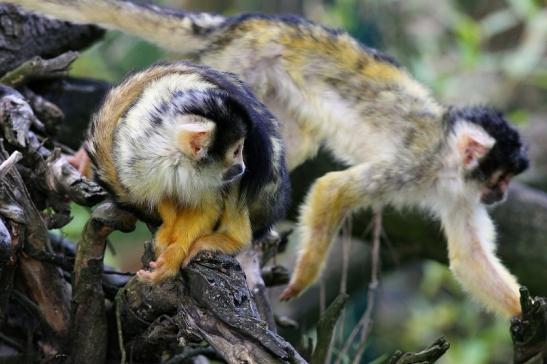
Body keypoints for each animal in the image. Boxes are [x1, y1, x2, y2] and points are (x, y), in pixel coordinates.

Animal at [86, 62, 292, 282]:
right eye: (236, 151)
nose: (242, 166)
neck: (176, 159)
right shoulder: (134, 160)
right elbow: (158, 197)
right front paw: (167, 227)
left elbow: (205, 209)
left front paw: (174, 255)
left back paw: (232, 239)